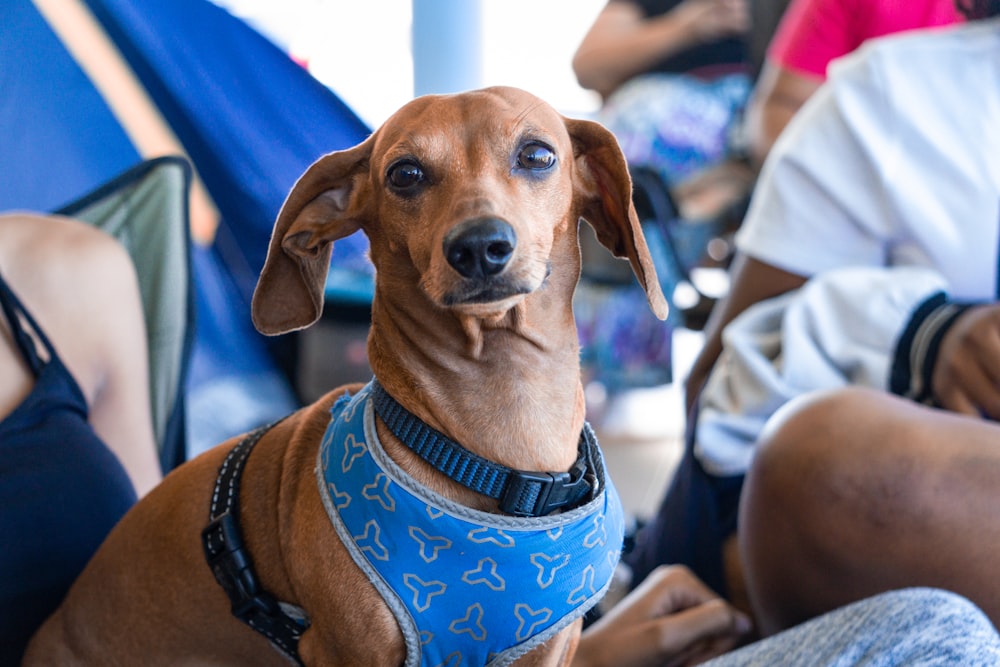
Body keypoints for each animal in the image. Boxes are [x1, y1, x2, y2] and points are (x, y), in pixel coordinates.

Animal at [25, 86, 664, 664]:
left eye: (537, 154)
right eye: (405, 174)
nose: (479, 246)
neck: (499, 455)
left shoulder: (550, 647)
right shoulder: (342, 650)